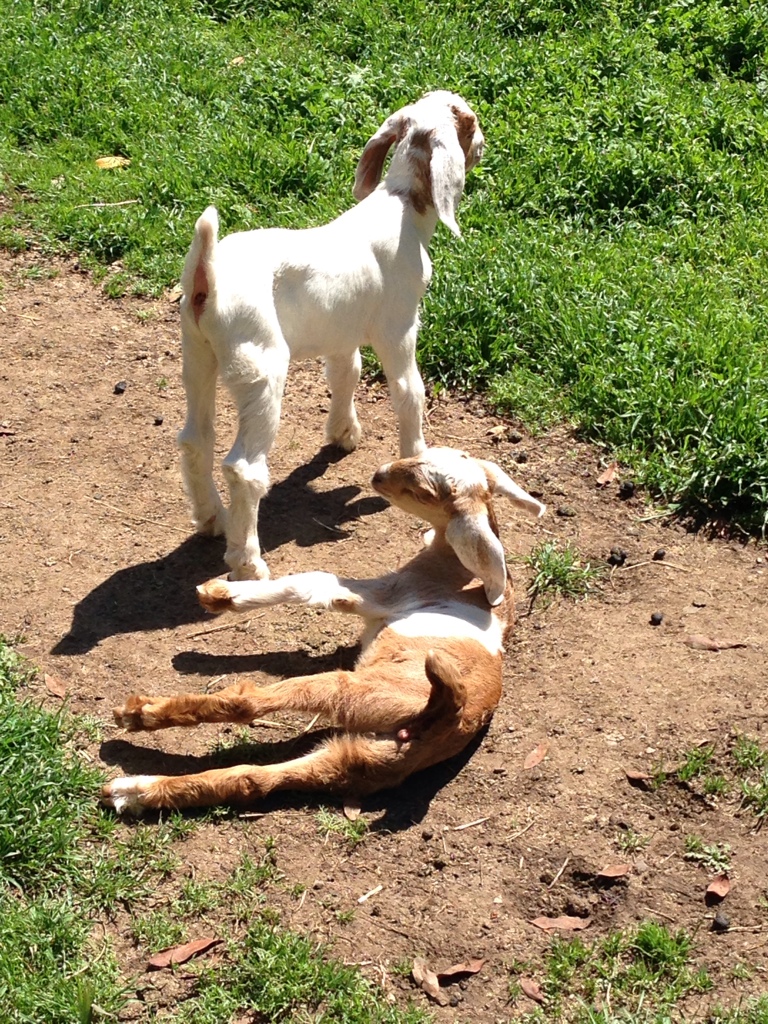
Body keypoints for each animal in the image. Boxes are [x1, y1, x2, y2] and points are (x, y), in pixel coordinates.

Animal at [101, 447, 545, 814]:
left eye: (422, 490)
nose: (378, 474)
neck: (459, 568)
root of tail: (446, 717)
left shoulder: (386, 592)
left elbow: (314, 583)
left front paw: (221, 594)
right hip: (357, 758)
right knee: (253, 778)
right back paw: (134, 791)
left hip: (352, 691)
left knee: (249, 703)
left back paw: (139, 715)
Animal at [177, 90, 484, 581]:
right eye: (468, 122)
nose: (484, 146)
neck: (401, 206)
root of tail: (208, 278)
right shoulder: (399, 327)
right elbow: (409, 392)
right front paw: (415, 459)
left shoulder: (342, 332)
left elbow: (346, 374)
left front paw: (343, 434)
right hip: (261, 368)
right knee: (244, 469)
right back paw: (248, 564)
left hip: (198, 355)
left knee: (195, 439)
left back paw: (212, 520)